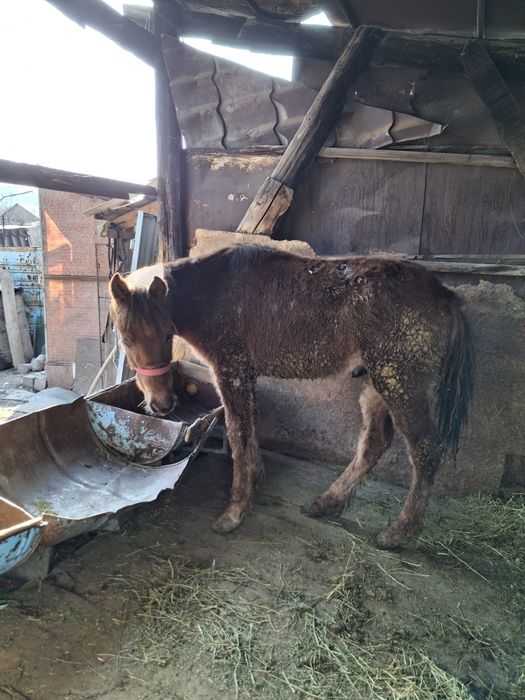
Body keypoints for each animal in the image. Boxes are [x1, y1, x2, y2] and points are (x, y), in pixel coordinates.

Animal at [109, 245, 474, 549]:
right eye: (125, 339)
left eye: (167, 334)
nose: (161, 403)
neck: (212, 289)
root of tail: (445, 295)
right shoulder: (245, 374)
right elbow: (251, 429)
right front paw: (255, 481)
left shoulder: (231, 369)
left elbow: (238, 434)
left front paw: (235, 511)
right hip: (377, 381)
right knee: (374, 442)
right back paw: (327, 502)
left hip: (400, 381)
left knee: (425, 450)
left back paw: (399, 533)